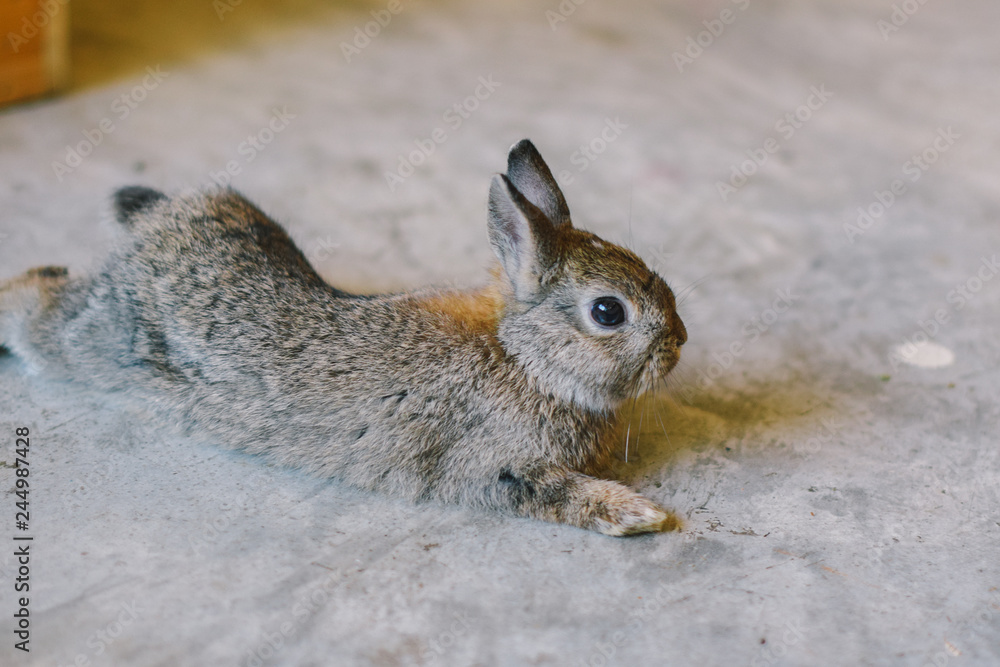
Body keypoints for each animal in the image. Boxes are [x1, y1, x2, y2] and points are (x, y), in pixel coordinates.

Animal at [0, 139, 687, 536]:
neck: (524, 357)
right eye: (608, 311)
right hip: (90, 339)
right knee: (35, 300)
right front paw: (638, 515)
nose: (678, 343)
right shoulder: (488, 468)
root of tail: (156, 223)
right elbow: (555, 493)